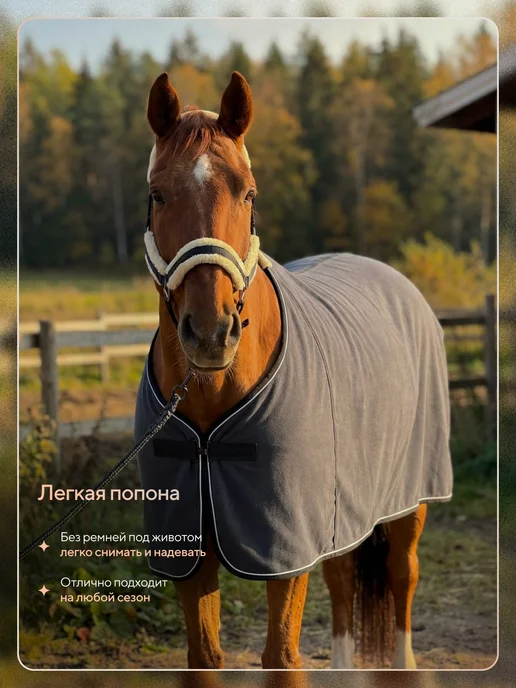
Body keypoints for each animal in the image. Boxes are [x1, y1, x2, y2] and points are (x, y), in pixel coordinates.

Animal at [136, 70, 452, 670]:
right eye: (158, 194)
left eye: (248, 192)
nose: (210, 332)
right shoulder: (190, 555)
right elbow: (204, 655)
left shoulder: (286, 552)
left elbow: (282, 656)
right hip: (342, 508)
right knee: (343, 575)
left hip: (410, 502)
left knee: (402, 576)